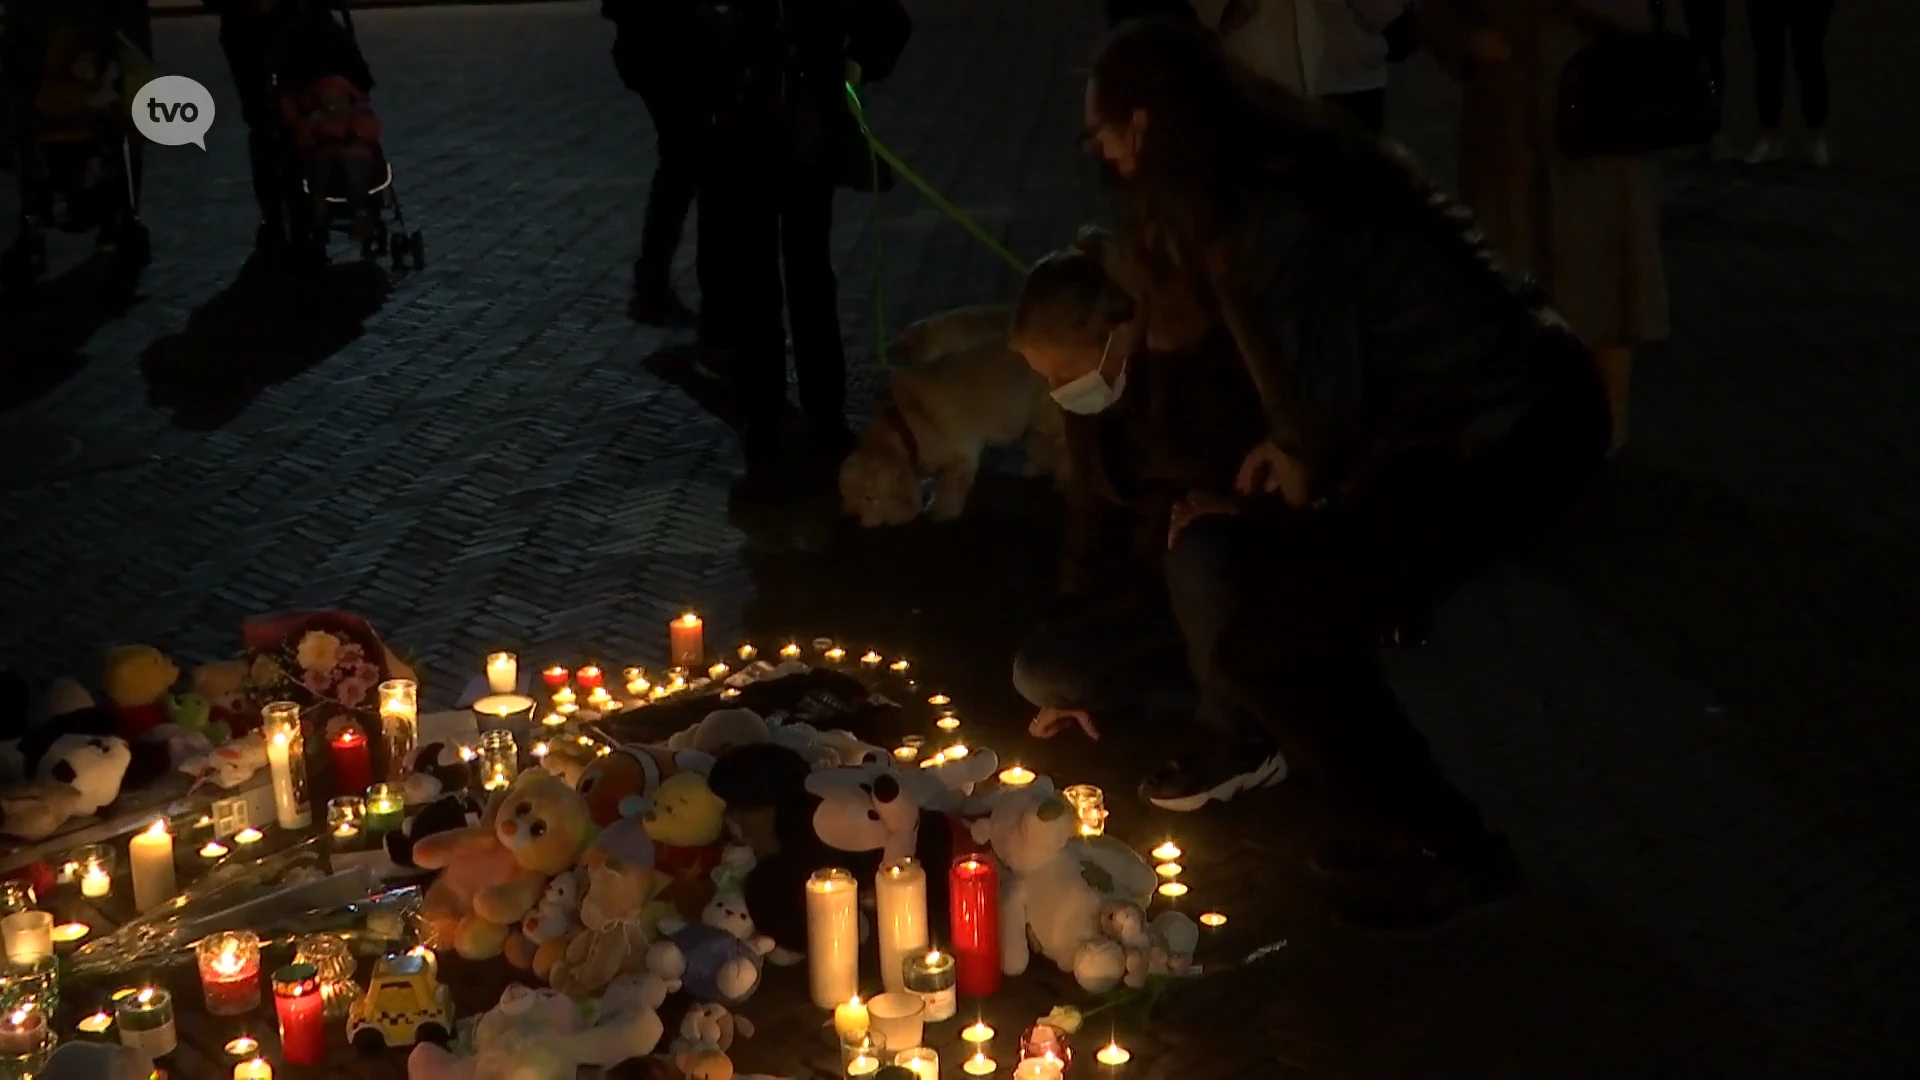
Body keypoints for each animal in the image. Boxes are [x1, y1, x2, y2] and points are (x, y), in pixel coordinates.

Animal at [844, 303, 1075, 526]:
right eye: (853, 500)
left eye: (870, 498)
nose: (859, 523)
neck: (904, 422)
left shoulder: (962, 455)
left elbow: (949, 494)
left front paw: (940, 515)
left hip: (1045, 415)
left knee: (1057, 445)